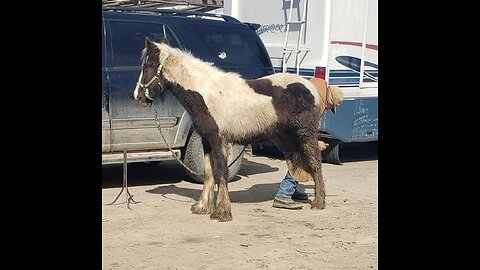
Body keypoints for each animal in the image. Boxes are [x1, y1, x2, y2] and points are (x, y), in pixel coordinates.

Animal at [135, 37, 328, 221]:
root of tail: (310, 88)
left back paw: (319, 203)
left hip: (305, 134)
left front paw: (222, 212)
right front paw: (203, 206)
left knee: (315, 161)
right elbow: (209, 171)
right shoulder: (206, 139)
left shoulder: (219, 138)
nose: (138, 96)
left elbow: (221, 171)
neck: (205, 92)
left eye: (148, 66)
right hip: (287, 137)